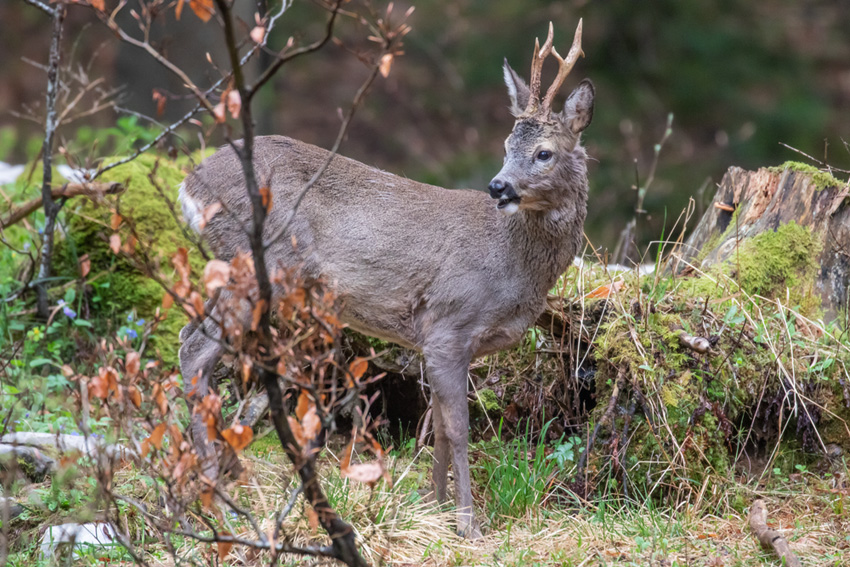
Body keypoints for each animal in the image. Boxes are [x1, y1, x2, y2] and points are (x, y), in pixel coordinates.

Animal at [179, 20, 588, 540]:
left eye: (543, 152)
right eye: (505, 147)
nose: (499, 186)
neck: (512, 261)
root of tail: (189, 184)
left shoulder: (445, 342)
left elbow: (437, 426)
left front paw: (435, 508)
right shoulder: (448, 324)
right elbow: (459, 429)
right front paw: (469, 526)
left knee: (190, 340)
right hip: (259, 261)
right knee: (194, 350)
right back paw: (220, 502)